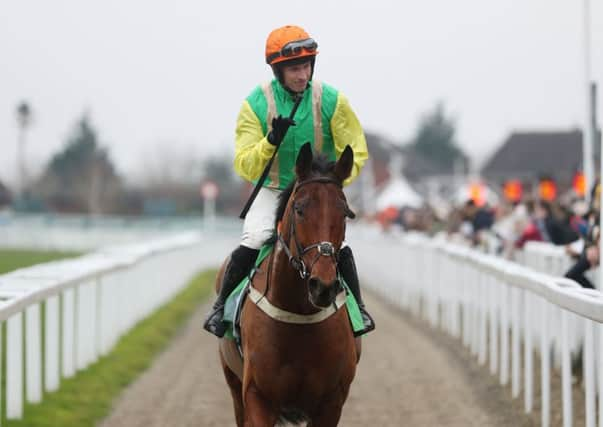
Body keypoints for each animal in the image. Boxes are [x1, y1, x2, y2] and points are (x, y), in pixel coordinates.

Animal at [221, 145, 364, 427]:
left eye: (344, 212)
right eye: (299, 208)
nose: (322, 286)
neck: (299, 316)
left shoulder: (331, 403)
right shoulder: (257, 397)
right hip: (233, 384)